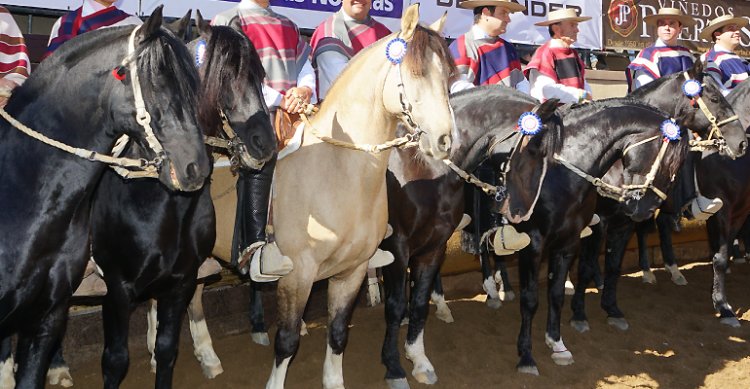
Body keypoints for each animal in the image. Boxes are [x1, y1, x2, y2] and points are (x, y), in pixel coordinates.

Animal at [0, 9, 210, 388]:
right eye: (159, 82)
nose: (196, 167)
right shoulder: (117, 286)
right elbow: (115, 359)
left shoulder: (45, 317)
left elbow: (167, 350)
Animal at [268, 4, 456, 386]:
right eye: (415, 73)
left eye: (448, 73)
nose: (444, 141)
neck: (336, 175)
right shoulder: (298, 272)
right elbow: (286, 340)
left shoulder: (352, 270)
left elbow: (339, 332)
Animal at [382, 86, 564, 388]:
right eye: (533, 148)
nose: (522, 213)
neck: (423, 167)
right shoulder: (397, 246)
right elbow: (394, 306)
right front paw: (393, 367)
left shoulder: (434, 246)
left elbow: (419, 302)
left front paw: (419, 360)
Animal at [516, 98, 692, 374]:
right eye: (667, 163)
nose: (645, 209)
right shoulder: (538, 241)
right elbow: (537, 294)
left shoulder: (613, 228)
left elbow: (609, 268)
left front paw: (611, 309)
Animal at [572, 60, 748, 334]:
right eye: (715, 98)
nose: (739, 143)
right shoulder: (599, 220)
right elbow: (586, 264)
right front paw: (579, 314)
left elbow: (613, 264)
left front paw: (612, 309)